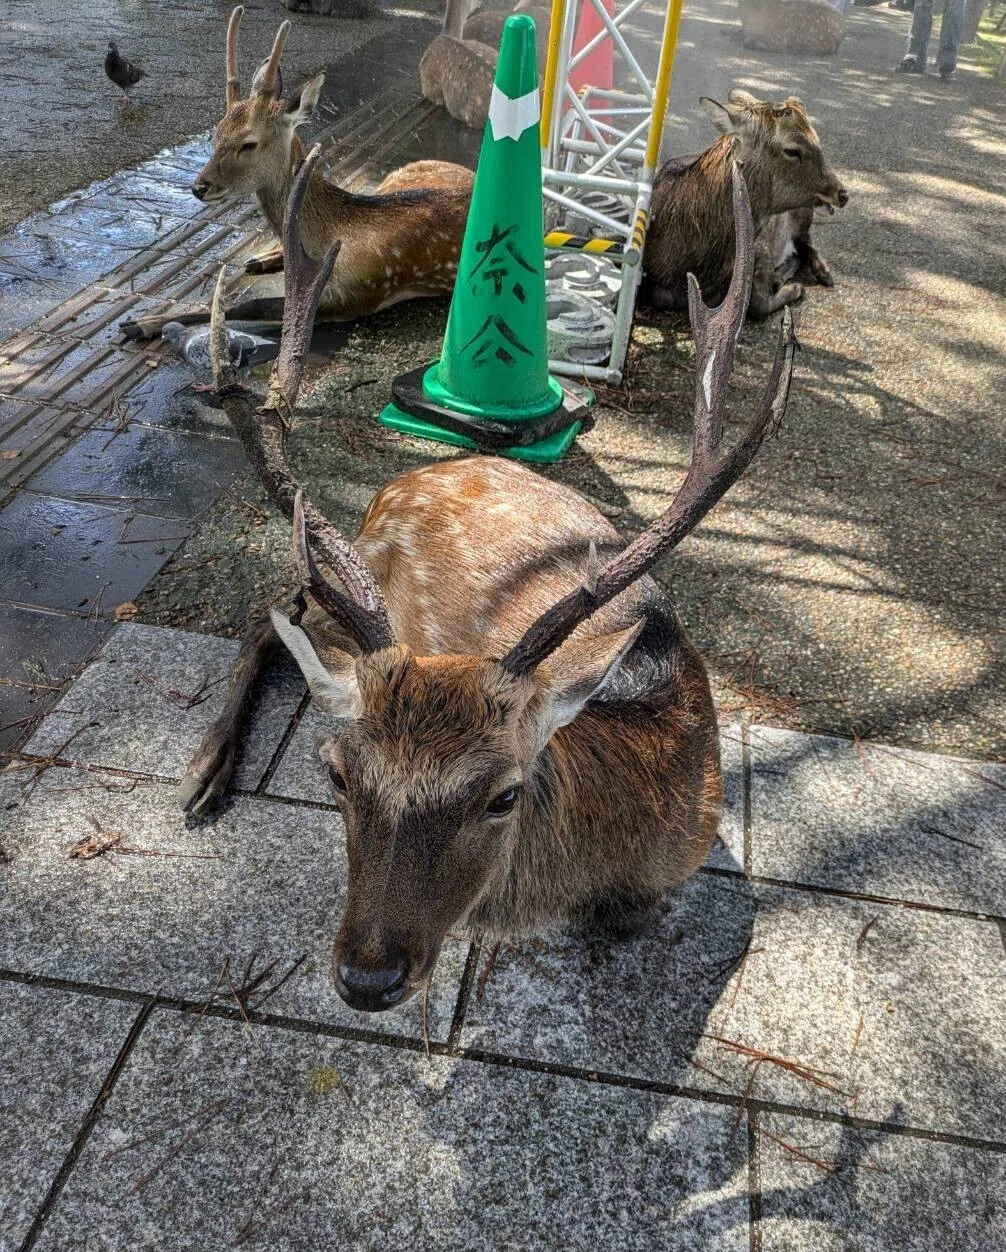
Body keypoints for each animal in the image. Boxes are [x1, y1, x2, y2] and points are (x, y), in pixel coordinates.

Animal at [120, 6, 474, 341]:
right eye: (215, 134)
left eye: (249, 143)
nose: (200, 187)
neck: (335, 234)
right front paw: (144, 321)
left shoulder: (359, 293)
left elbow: (250, 305)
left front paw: (141, 323)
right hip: (392, 179)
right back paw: (260, 258)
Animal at [177, 144, 795, 1015]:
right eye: (336, 773)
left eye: (503, 794)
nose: (367, 978)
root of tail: (409, 478)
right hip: (360, 574)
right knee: (270, 608)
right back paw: (204, 772)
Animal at [645, 89, 848, 319]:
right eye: (792, 150)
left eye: (817, 139)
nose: (842, 193)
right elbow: (661, 296)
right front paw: (787, 284)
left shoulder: (761, 246)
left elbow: (757, 304)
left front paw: (793, 288)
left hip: (804, 214)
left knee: (807, 243)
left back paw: (822, 273)